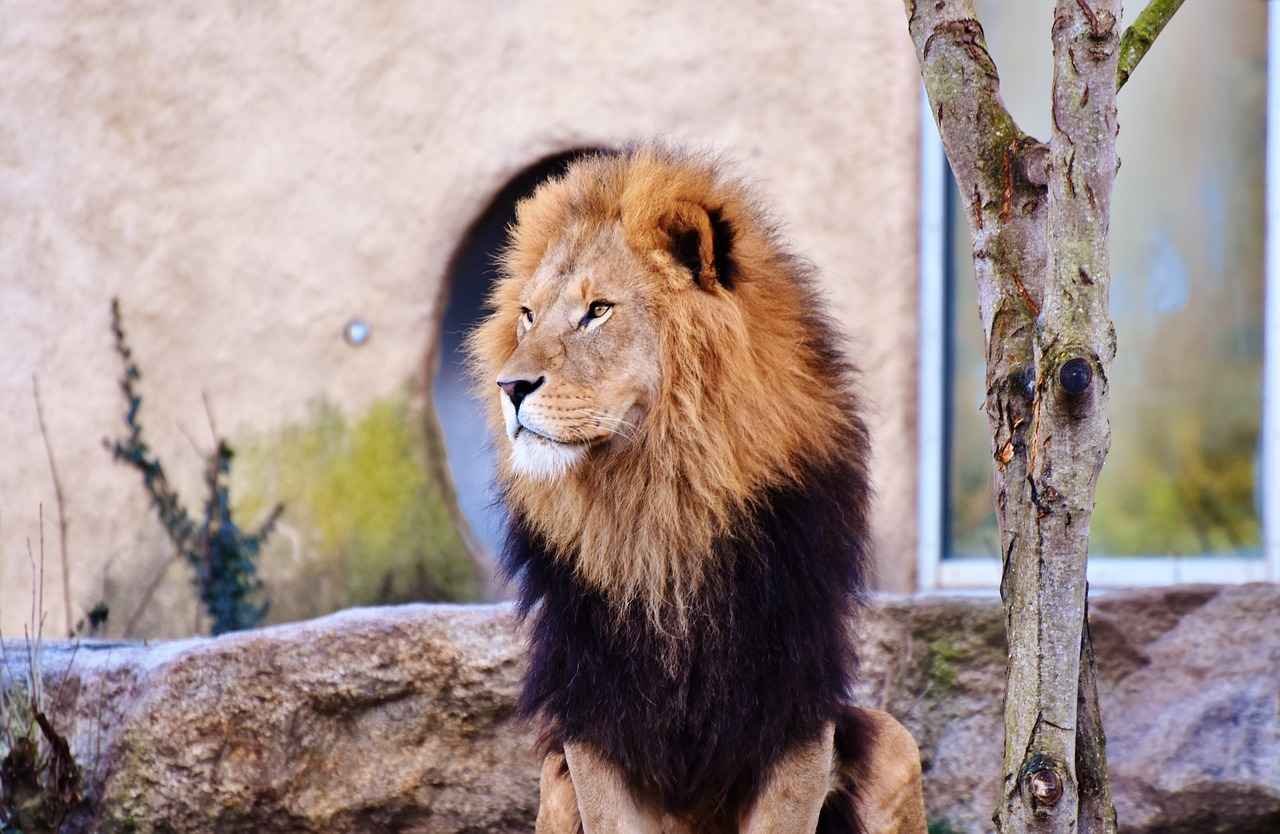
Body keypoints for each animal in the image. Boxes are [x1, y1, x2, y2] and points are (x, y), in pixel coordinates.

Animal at [467, 146, 926, 834]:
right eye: (527, 315)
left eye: (598, 310)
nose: (510, 387)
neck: (662, 497)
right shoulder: (594, 713)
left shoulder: (793, 706)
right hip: (553, 776)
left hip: (896, 742)